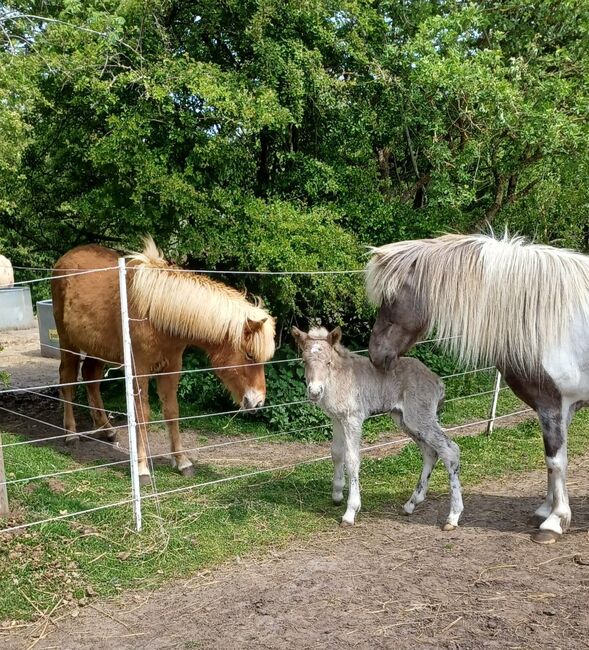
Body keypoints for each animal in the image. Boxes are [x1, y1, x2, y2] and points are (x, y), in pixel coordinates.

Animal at [51, 237, 274, 480]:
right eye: (250, 355)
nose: (258, 402)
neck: (155, 313)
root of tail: (65, 259)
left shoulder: (172, 367)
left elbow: (172, 412)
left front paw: (182, 461)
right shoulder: (139, 370)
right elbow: (142, 414)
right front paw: (141, 467)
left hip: (96, 348)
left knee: (91, 378)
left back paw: (106, 430)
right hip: (68, 343)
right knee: (67, 380)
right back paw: (71, 433)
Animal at [292, 326, 462, 528]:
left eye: (328, 362)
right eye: (304, 361)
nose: (315, 392)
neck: (338, 377)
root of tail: (437, 381)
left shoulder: (353, 418)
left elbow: (352, 460)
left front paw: (350, 512)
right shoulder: (337, 419)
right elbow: (336, 453)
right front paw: (337, 494)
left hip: (419, 418)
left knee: (450, 451)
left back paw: (453, 516)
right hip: (405, 420)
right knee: (430, 453)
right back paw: (411, 504)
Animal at [370, 233, 589, 540]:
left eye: (389, 298)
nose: (375, 354)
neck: (551, 319)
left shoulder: (553, 405)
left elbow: (555, 461)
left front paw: (554, 522)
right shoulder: (560, 408)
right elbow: (554, 462)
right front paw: (546, 510)